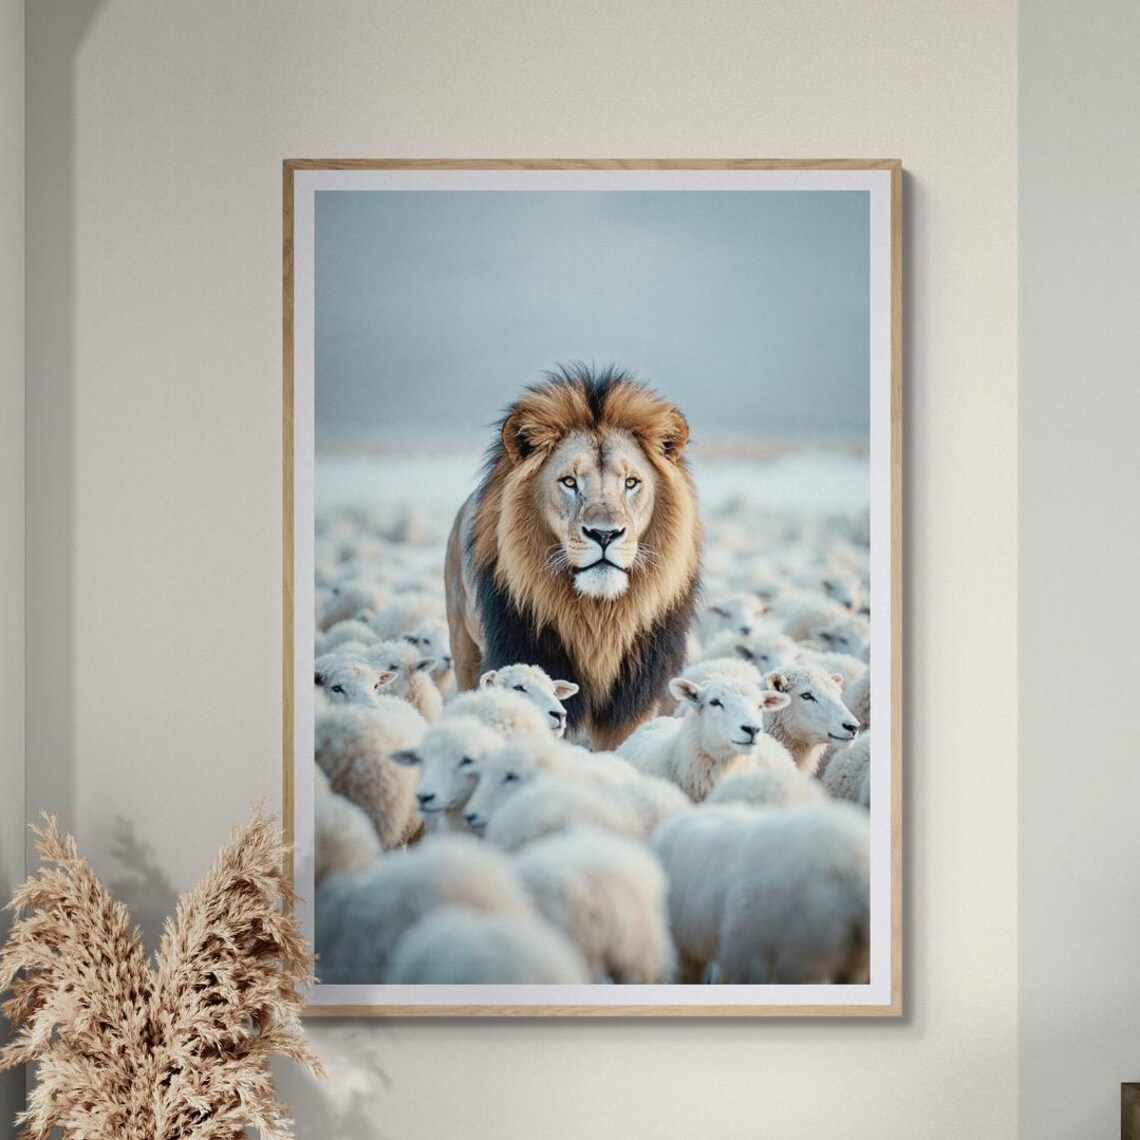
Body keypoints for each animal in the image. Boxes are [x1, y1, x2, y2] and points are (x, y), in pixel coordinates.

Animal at [445, 365, 702, 750]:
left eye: (631, 482)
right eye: (569, 482)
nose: (605, 534)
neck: (598, 616)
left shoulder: (636, 692)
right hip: (463, 646)